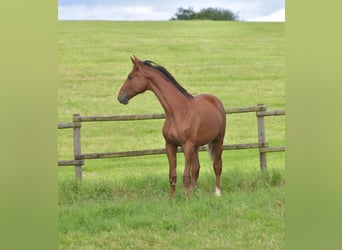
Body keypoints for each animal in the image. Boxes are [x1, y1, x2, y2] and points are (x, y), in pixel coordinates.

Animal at [118, 55, 227, 198]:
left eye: (130, 77)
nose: (120, 97)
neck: (178, 111)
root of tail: (216, 101)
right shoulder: (170, 145)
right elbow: (172, 175)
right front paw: (172, 199)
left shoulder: (187, 146)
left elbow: (185, 176)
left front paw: (187, 200)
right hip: (196, 146)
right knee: (196, 169)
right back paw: (194, 192)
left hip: (218, 141)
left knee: (217, 166)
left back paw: (217, 193)